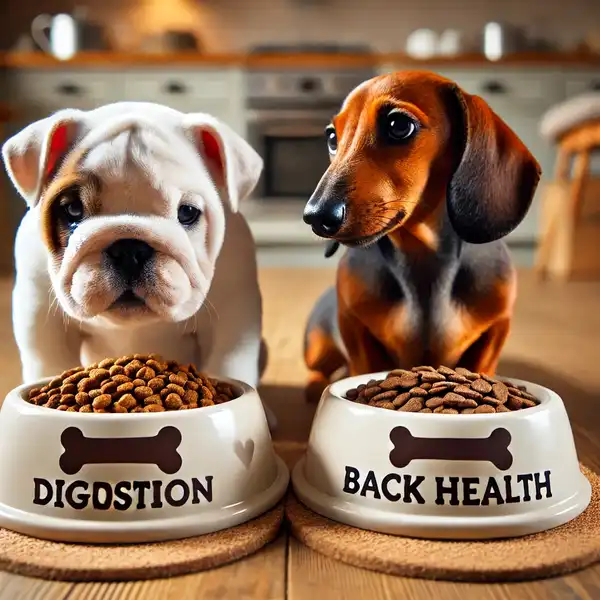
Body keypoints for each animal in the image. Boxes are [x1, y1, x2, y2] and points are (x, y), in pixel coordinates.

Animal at [1, 99, 274, 426]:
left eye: (187, 213)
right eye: (73, 210)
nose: (129, 248)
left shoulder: (234, 318)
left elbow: (229, 362)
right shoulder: (41, 315)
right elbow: (49, 361)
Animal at [302, 70, 540, 400]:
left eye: (398, 125)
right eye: (332, 137)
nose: (316, 216)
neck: (423, 262)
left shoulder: (495, 330)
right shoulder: (355, 328)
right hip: (318, 347)